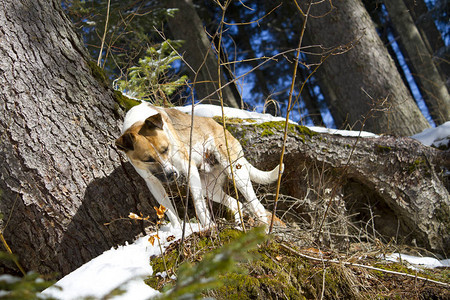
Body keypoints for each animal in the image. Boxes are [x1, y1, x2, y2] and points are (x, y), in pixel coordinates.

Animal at [118, 101, 284, 227]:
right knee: (234, 202)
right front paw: (178, 230)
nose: (172, 174)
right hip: (208, 187)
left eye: (165, 149)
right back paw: (238, 225)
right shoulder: (153, 182)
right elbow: (169, 211)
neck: (138, 120)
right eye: (148, 159)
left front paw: (208, 227)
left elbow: (199, 206)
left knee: (256, 204)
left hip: (235, 171)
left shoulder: (188, 168)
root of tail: (221, 127)